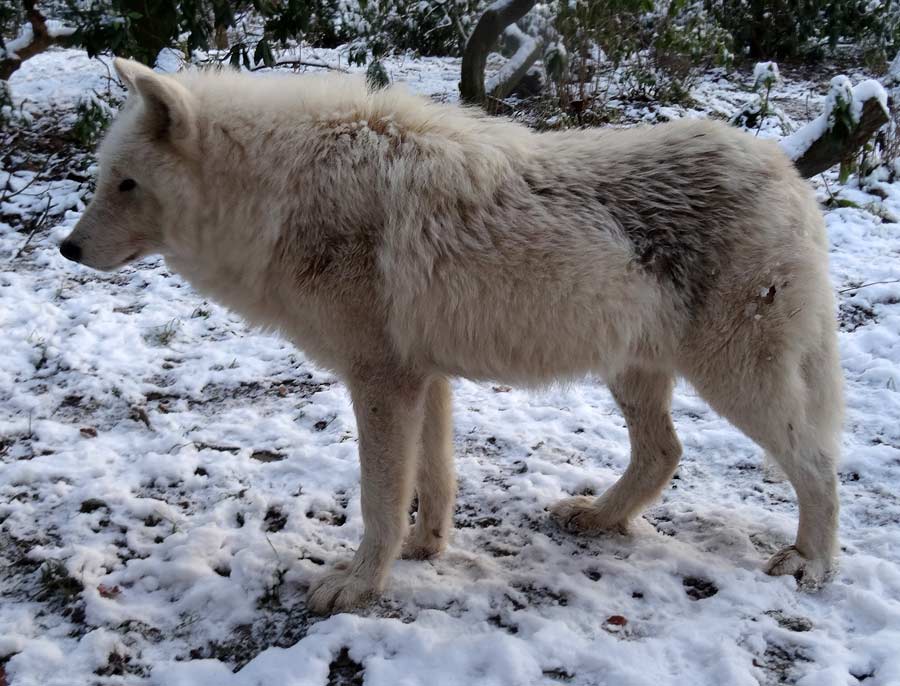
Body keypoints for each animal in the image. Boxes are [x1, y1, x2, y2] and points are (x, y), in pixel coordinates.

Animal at [61, 59, 844, 616]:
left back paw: (809, 563)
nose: (66, 248)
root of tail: (789, 172)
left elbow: (380, 498)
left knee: (817, 464)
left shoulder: (381, 381)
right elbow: (433, 481)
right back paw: (598, 518)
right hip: (633, 373)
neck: (280, 196)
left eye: (125, 184)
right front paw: (425, 550)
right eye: (104, 178)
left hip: (733, 381)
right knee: (665, 452)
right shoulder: (424, 377)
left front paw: (358, 586)